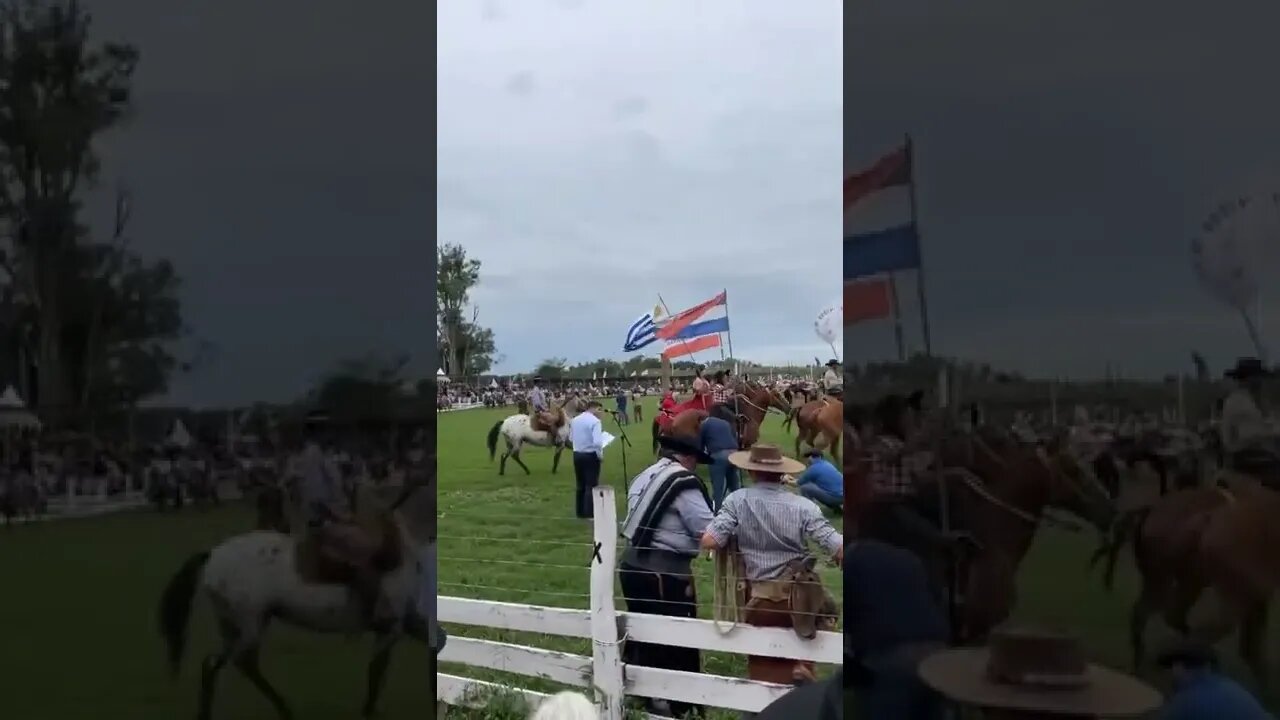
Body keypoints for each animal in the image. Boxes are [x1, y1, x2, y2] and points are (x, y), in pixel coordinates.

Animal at [155, 479, 432, 712]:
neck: (397, 554)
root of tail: (213, 555)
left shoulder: (406, 622)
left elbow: (432, 645)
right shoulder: (391, 628)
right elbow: (376, 673)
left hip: (233, 625)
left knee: (213, 665)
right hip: (249, 623)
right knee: (242, 662)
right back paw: (284, 708)